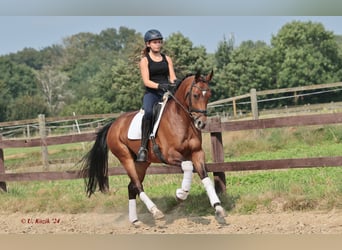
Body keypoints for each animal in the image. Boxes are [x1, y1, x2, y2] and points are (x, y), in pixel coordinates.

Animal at [81, 71, 226, 227]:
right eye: (195, 95)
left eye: (209, 95)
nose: (201, 123)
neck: (181, 120)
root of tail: (113, 124)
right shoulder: (169, 155)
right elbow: (188, 166)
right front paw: (181, 194)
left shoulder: (197, 153)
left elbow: (205, 177)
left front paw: (218, 209)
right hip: (125, 158)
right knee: (137, 185)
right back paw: (156, 212)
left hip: (142, 163)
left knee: (131, 186)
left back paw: (135, 220)